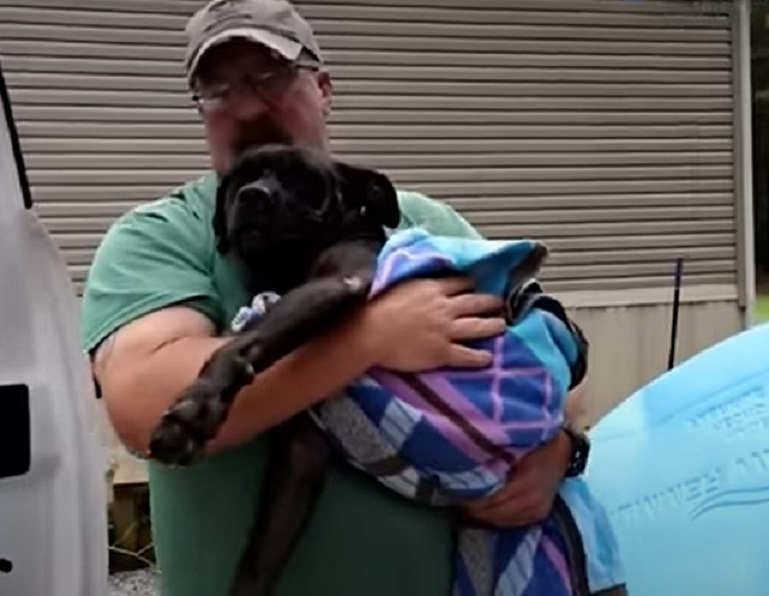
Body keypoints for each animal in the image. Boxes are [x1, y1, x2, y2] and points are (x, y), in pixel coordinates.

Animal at [149, 144, 402, 596]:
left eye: (304, 179)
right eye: (240, 176)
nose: (253, 196)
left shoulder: (342, 282)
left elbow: (241, 343)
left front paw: (195, 410)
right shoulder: (301, 453)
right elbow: (258, 560)